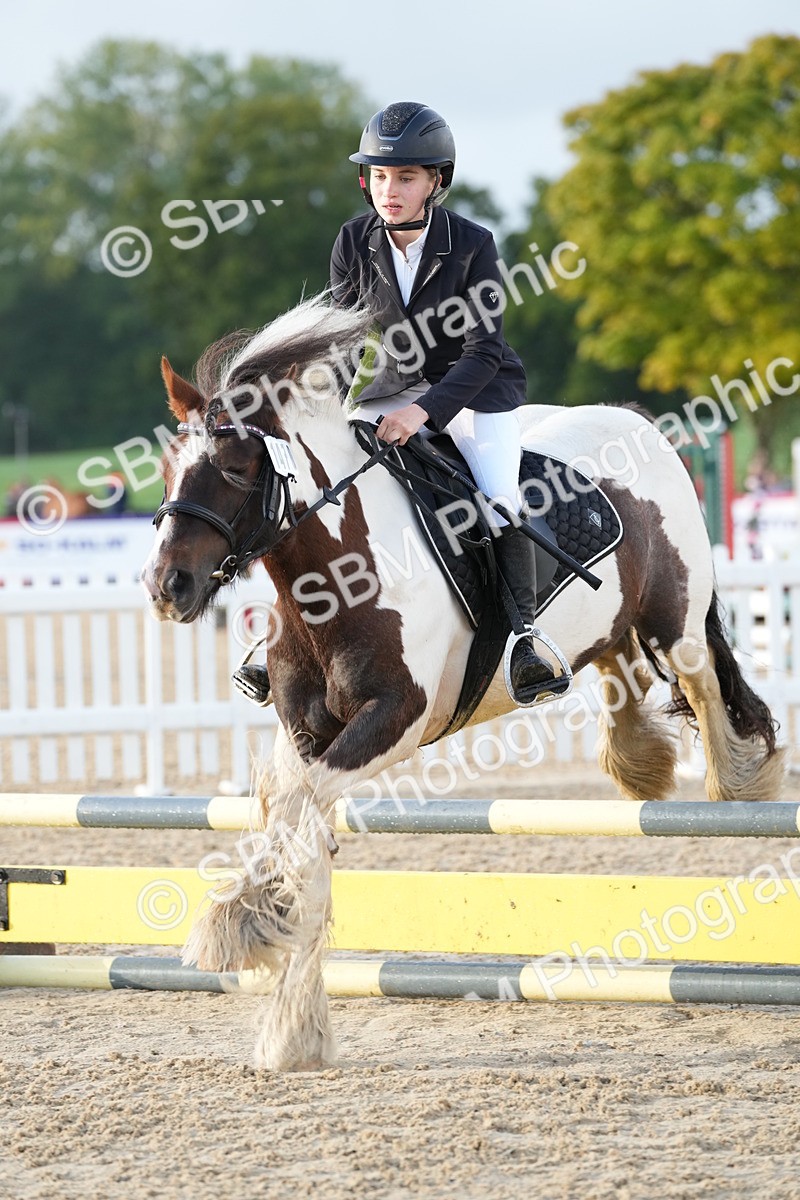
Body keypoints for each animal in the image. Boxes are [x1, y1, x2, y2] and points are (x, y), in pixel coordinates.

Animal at [141, 295, 783, 1070]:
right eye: (168, 465)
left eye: (237, 467)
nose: (167, 587)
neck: (333, 580)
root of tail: (636, 421)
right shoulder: (306, 729)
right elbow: (292, 818)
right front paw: (288, 1010)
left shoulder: (397, 720)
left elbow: (297, 806)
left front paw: (246, 926)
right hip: (609, 627)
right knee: (617, 666)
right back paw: (640, 762)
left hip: (675, 620)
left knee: (705, 684)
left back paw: (738, 783)